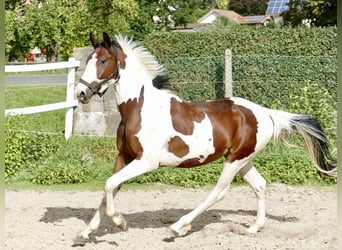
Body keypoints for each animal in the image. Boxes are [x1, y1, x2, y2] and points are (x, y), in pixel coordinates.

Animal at [75, 32, 336, 240]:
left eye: (103, 60)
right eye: (88, 60)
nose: (80, 93)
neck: (139, 107)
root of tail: (266, 113)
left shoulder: (147, 162)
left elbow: (109, 184)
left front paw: (120, 222)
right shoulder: (124, 157)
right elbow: (109, 188)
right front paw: (86, 232)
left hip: (234, 161)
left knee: (218, 193)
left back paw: (178, 227)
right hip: (243, 159)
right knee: (260, 185)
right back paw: (254, 228)